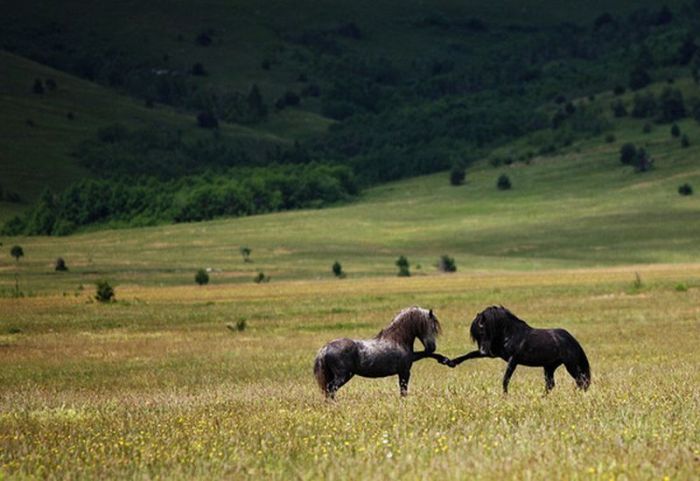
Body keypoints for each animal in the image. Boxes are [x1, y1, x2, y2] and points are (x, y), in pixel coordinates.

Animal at [314, 308, 448, 398]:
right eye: (431, 327)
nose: (431, 347)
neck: (397, 339)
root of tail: (325, 348)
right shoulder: (404, 371)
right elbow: (403, 391)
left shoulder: (409, 362)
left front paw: (446, 360)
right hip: (343, 376)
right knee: (331, 389)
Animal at [446, 306, 588, 392]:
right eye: (477, 335)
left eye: (483, 331)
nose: (484, 350)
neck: (510, 333)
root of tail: (572, 340)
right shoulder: (495, 353)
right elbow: (470, 354)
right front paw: (451, 362)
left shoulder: (513, 360)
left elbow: (505, 379)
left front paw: (505, 396)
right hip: (549, 367)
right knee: (551, 385)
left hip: (570, 365)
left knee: (581, 381)